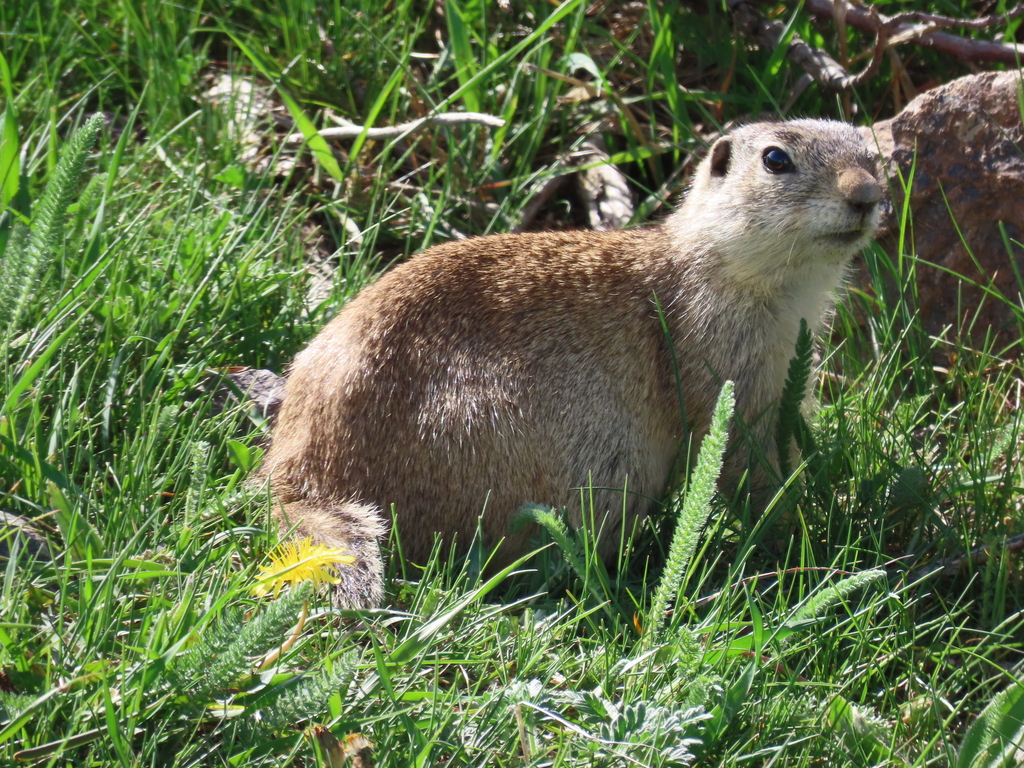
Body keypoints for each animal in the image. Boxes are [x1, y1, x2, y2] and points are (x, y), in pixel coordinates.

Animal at [256, 119, 882, 607]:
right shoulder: (729, 367)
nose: (869, 194)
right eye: (776, 158)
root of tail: (304, 480)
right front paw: (800, 526)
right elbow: (744, 456)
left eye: (873, 151)